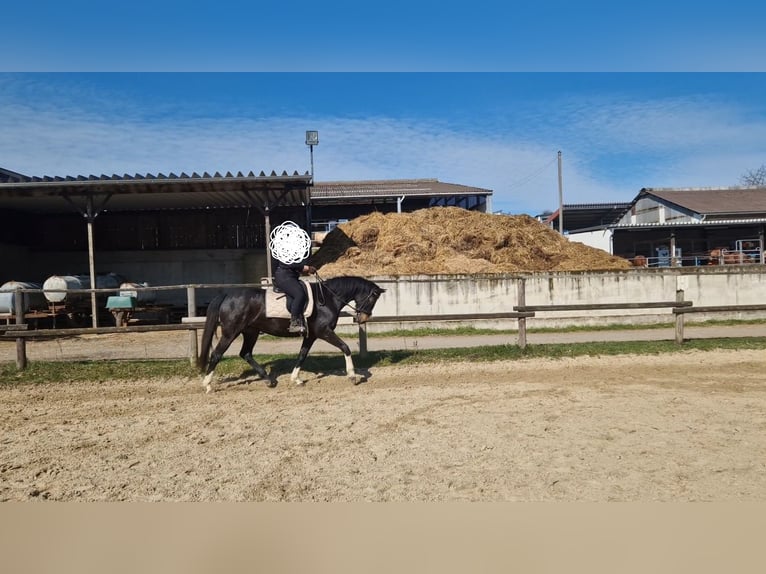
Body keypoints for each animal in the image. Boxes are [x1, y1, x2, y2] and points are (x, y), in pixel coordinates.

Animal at [197, 275, 385, 393]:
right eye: (372, 298)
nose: (362, 319)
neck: (328, 299)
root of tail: (227, 295)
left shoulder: (311, 336)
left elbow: (302, 355)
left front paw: (296, 379)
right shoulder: (324, 332)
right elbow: (345, 347)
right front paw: (352, 376)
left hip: (251, 332)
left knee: (246, 353)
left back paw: (269, 380)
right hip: (231, 332)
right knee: (216, 354)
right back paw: (207, 385)